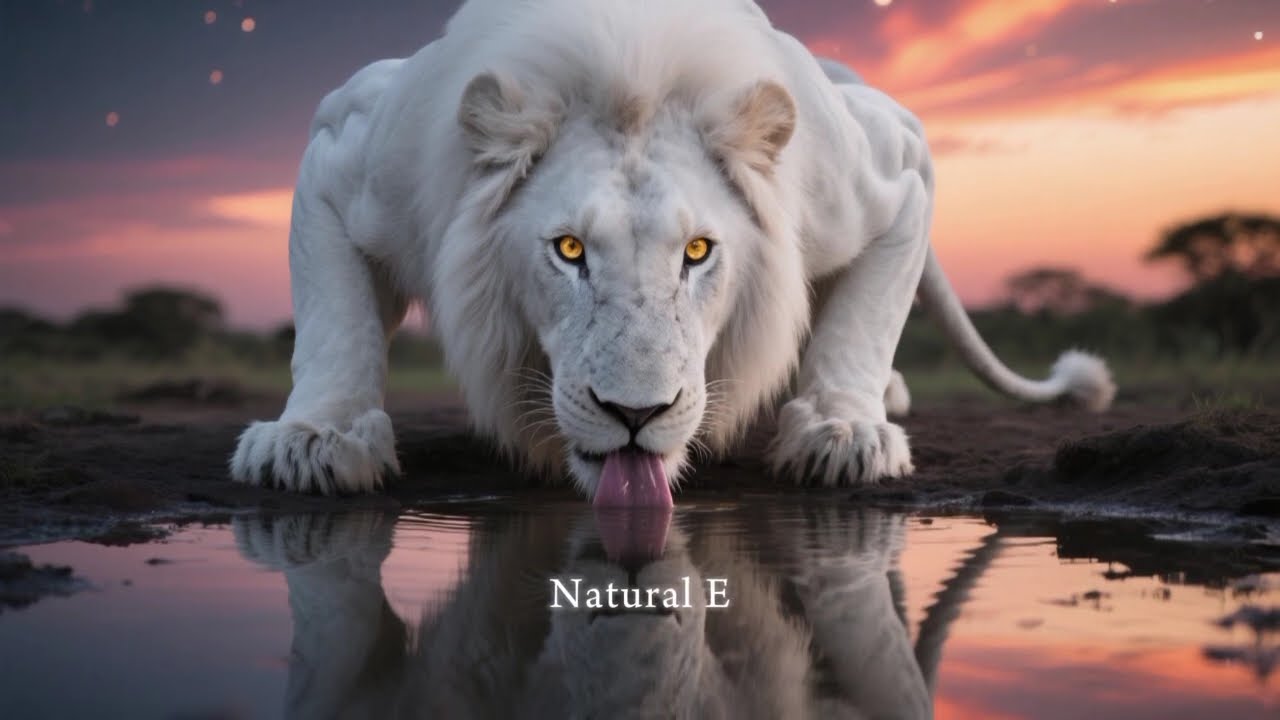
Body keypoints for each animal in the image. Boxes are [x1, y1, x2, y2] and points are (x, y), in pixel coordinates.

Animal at [229, 0, 1115, 502]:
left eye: (697, 250)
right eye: (569, 249)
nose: (636, 415)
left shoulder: (893, 166)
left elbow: (863, 323)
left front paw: (841, 435)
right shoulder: (348, 153)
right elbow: (334, 324)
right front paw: (314, 441)